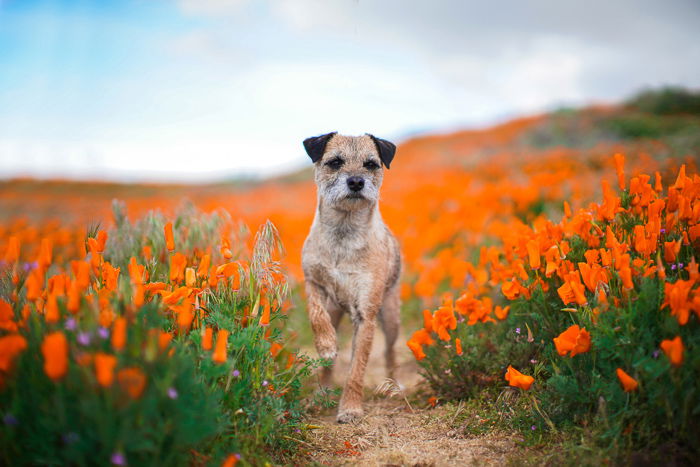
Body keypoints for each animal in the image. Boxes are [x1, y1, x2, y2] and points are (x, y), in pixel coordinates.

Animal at [300, 132, 400, 424]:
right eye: (335, 162)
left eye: (371, 164)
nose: (356, 181)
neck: (343, 233)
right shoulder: (312, 281)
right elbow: (315, 314)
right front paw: (326, 345)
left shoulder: (366, 316)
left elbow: (357, 369)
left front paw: (351, 408)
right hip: (336, 311)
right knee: (327, 365)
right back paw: (321, 391)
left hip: (391, 317)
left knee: (390, 352)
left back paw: (393, 386)